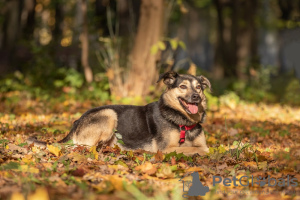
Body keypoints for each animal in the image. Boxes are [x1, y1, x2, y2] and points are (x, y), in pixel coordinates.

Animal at [28, 71, 211, 155]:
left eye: (199, 87)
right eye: (182, 86)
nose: (196, 97)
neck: (183, 121)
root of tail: (76, 123)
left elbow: (202, 146)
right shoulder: (165, 149)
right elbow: (201, 149)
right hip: (108, 113)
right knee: (82, 147)